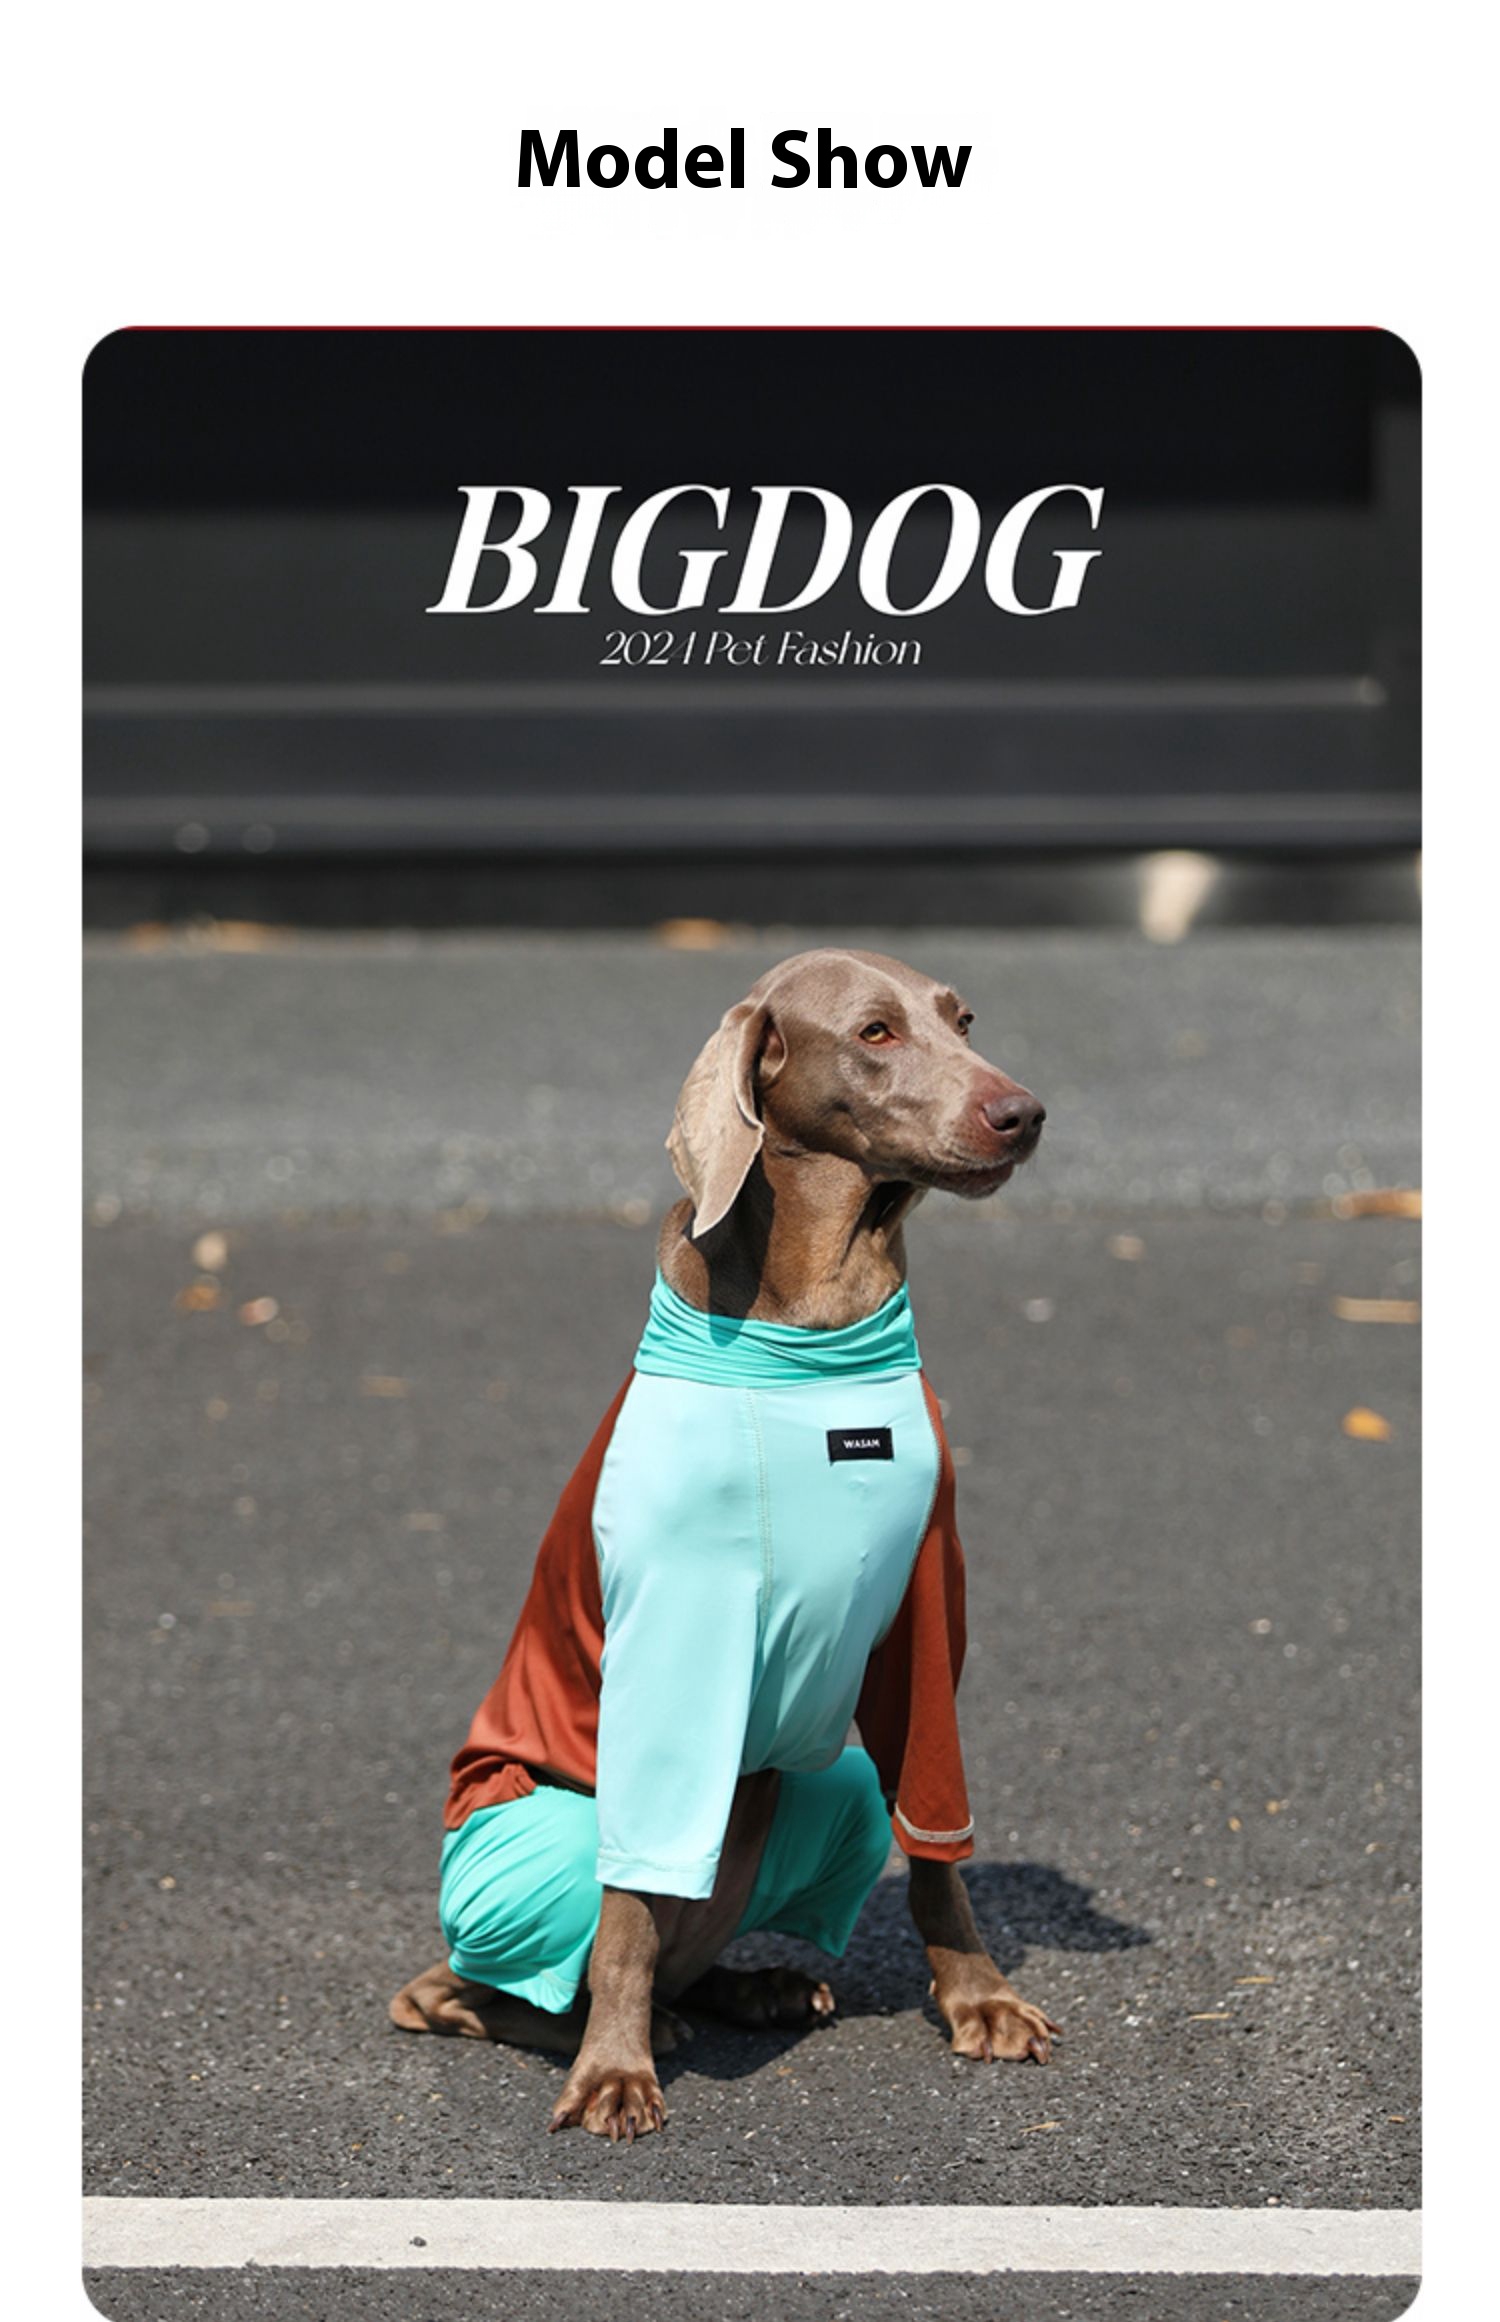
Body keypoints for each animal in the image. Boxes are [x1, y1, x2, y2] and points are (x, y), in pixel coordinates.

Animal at [391, 947, 1059, 2139]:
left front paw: (978, 1998)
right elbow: (627, 1902)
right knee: (469, 1983)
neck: (820, 1344)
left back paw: (754, 1987)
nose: (1021, 1113)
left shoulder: (927, 1607)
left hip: (827, 1781)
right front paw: (613, 2072)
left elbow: (937, 1842)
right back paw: (629, 2024)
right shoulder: (674, 1617)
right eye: (876, 1032)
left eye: (964, 1019)